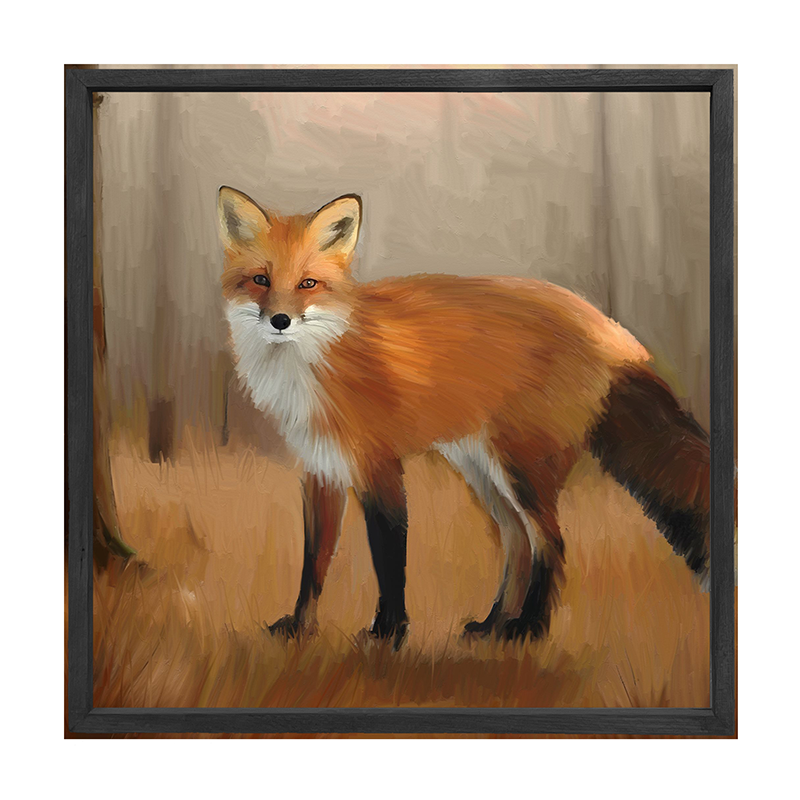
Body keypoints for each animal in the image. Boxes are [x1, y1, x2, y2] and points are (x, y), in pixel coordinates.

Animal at [217, 186, 710, 647]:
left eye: (307, 284)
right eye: (260, 279)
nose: (280, 320)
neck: (316, 363)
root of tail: (609, 328)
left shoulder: (380, 466)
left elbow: (388, 557)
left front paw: (389, 634)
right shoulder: (322, 470)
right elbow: (314, 563)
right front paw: (300, 628)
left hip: (522, 468)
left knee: (552, 542)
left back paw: (529, 629)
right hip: (483, 469)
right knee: (518, 542)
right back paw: (494, 624)